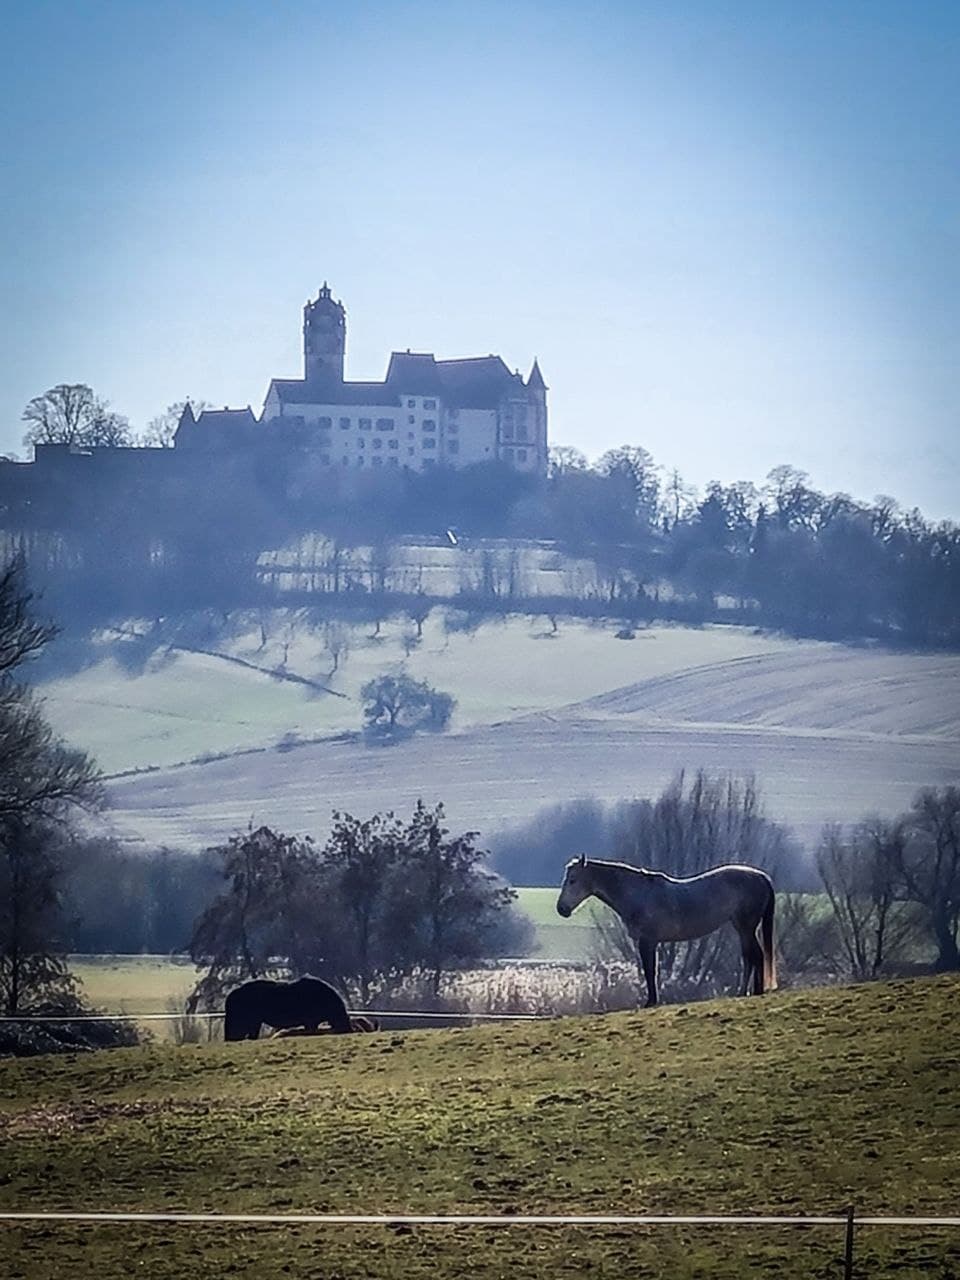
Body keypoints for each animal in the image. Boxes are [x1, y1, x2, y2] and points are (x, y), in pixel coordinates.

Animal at [560, 849, 778, 1008]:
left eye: (573, 880)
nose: (561, 909)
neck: (639, 894)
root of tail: (762, 877)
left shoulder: (648, 942)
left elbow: (650, 971)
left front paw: (651, 1002)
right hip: (742, 928)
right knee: (750, 956)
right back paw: (746, 992)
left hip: (746, 927)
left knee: (755, 955)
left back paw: (753, 991)